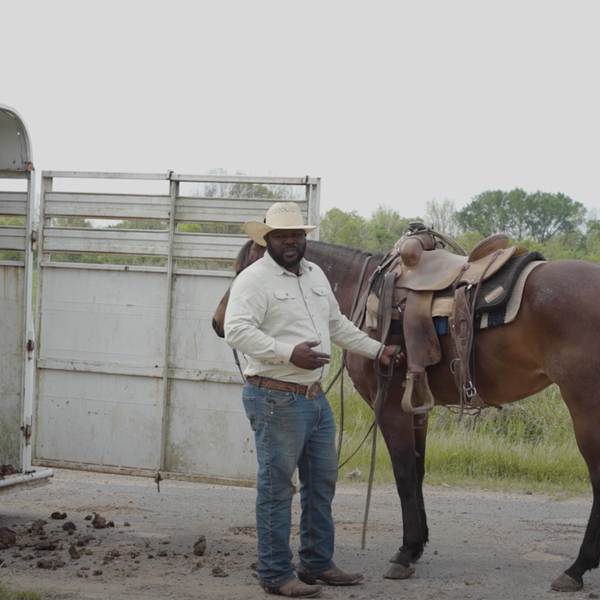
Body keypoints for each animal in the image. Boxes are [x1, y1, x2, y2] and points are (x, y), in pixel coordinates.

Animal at [212, 236, 600, 592]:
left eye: (243, 272)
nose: (219, 323)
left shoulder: (390, 405)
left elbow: (403, 474)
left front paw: (405, 552)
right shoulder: (417, 408)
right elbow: (418, 473)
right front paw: (418, 545)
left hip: (585, 407)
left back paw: (576, 568)